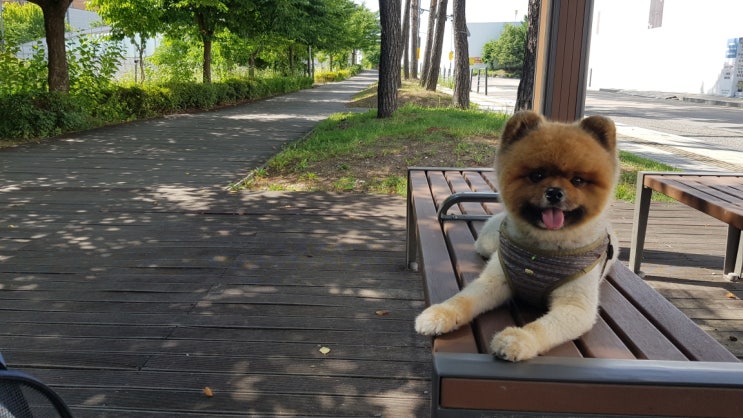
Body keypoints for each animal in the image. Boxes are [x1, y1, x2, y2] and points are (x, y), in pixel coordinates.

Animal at [415, 110, 620, 362]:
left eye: (578, 180)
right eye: (537, 175)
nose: (554, 192)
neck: (543, 249)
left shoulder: (576, 307)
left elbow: (541, 327)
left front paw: (517, 339)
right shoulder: (495, 280)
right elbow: (464, 299)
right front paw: (440, 314)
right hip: (487, 244)